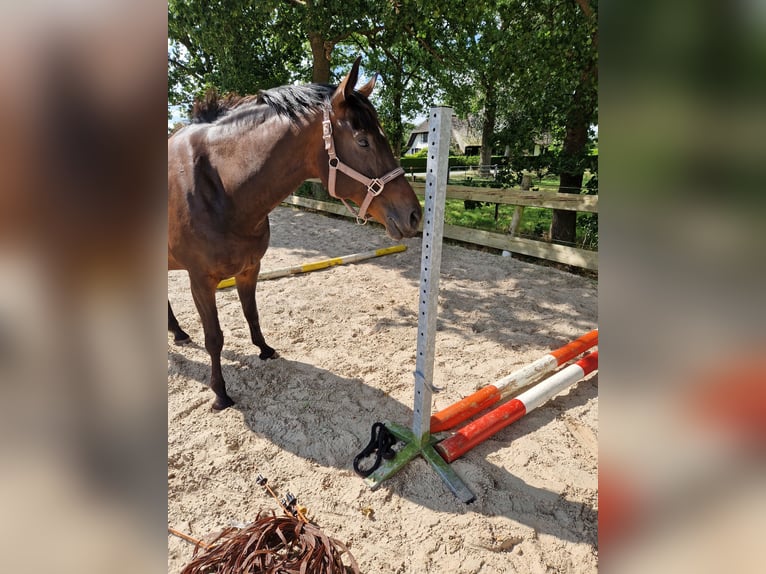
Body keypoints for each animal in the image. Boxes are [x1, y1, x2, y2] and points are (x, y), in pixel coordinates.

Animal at [168, 57, 424, 410]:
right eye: (363, 140)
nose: (414, 215)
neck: (221, 188)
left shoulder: (251, 268)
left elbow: (252, 314)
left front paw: (265, 350)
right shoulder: (201, 282)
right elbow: (214, 338)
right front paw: (220, 393)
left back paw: (177, 332)